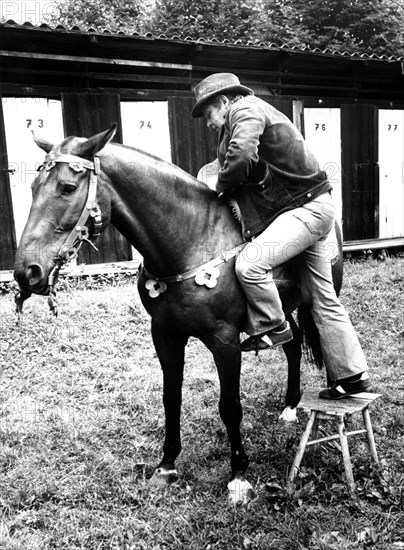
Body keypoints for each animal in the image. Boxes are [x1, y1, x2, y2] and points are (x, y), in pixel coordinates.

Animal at [14, 125, 342, 504]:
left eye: (67, 188)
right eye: (33, 187)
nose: (26, 272)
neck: (191, 239)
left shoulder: (225, 341)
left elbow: (230, 406)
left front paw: (239, 475)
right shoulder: (165, 335)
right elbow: (171, 398)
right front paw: (166, 466)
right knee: (291, 343)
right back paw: (290, 405)